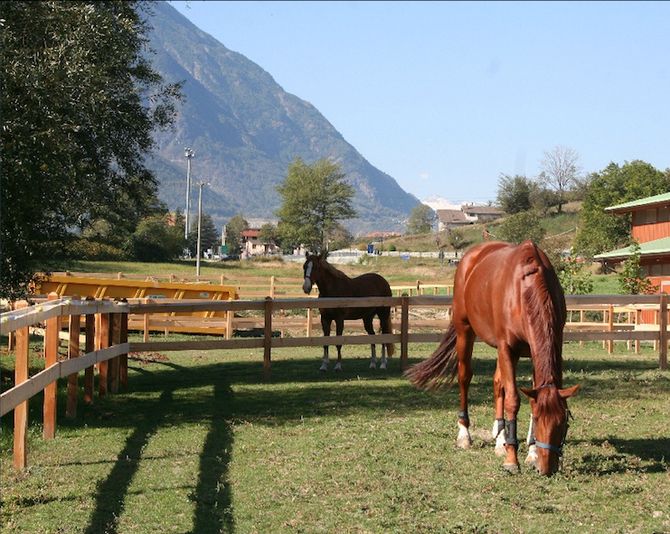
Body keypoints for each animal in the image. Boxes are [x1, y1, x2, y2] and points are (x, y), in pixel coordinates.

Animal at [406, 243, 580, 478]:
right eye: (540, 421)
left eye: (562, 422)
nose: (546, 469)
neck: (525, 290)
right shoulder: (507, 348)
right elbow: (513, 400)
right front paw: (512, 460)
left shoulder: (537, 349)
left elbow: (524, 396)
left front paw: (531, 452)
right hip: (465, 331)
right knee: (465, 377)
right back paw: (465, 435)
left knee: (498, 384)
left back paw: (500, 439)